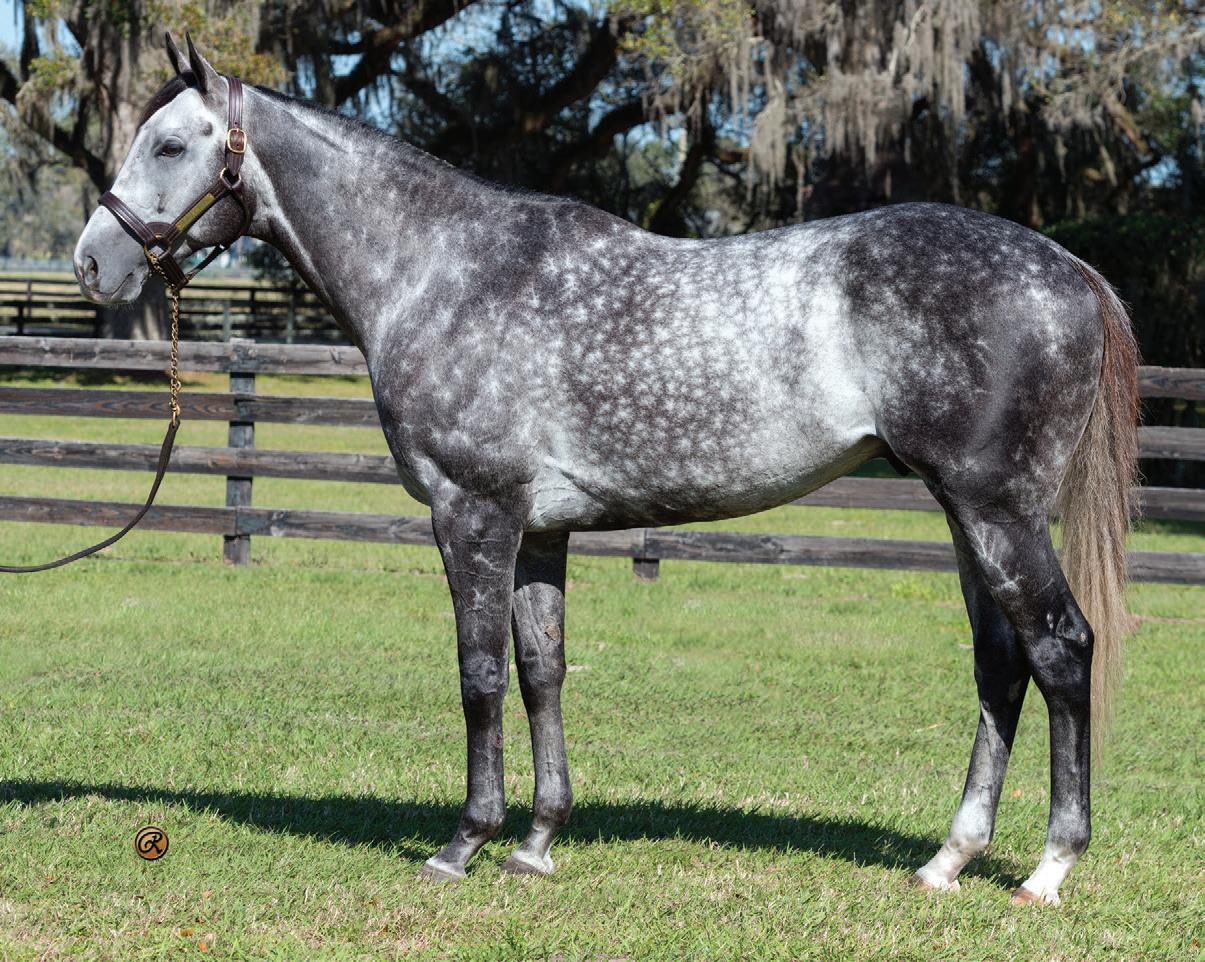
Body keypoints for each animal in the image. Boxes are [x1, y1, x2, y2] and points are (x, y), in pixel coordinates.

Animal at [72, 35, 1138, 906]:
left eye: (169, 146)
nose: (90, 264)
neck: (444, 272)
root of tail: (1068, 271)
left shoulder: (473, 513)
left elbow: (478, 672)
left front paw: (462, 844)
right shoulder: (540, 527)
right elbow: (542, 670)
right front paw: (537, 842)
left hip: (997, 511)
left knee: (1059, 649)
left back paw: (1047, 869)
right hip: (966, 516)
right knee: (999, 664)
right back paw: (947, 861)